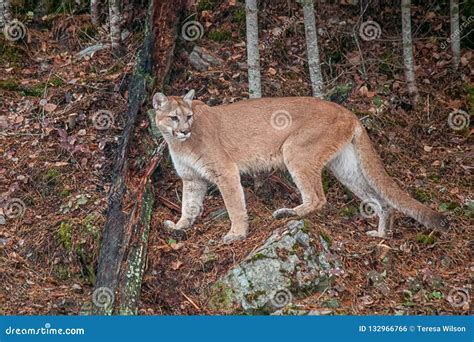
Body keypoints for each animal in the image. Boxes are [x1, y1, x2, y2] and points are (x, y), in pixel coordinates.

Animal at [152, 89, 448, 242]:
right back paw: (380, 233)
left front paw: (236, 234)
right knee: (380, 199)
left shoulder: (225, 172)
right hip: (344, 167)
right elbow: (189, 205)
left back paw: (289, 213)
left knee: (318, 198)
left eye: (189, 116)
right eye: (174, 117)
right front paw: (180, 226)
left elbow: (234, 206)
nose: (185, 130)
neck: (179, 144)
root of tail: (347, 111)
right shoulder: (192, 179)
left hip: (295, 151)